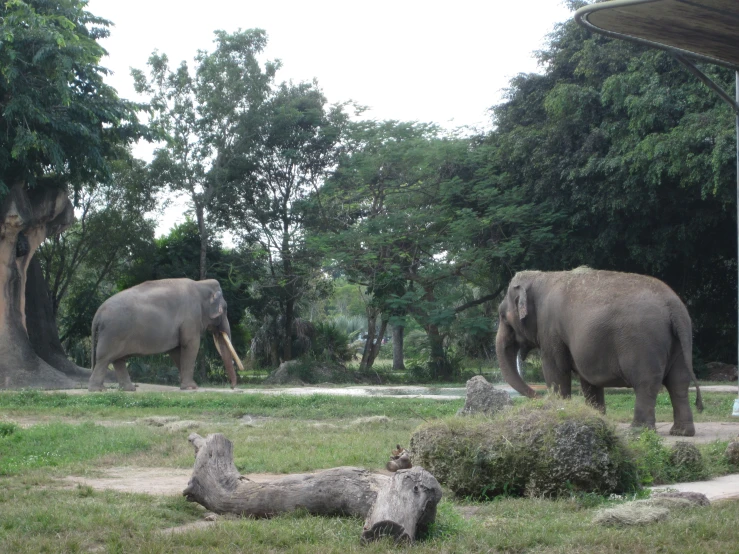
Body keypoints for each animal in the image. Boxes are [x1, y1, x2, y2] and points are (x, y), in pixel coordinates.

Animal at [86, 278, 243, 390]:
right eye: (225, 309)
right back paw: (98, 390)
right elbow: (190, 345)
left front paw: (186, 386)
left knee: (118, 360)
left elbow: (176, 351)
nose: (232, 387)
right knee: (104, 358)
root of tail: (97, 314)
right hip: (113, 332)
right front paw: (192, 387)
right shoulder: (191, 317)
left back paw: (129, 389)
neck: (201, 284)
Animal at [498, 266, 704, 434]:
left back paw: (638, 431)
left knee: (646, 383)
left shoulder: (550, 329)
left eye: (502, 316)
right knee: (678, 382)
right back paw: (681, 432)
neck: (541, 276)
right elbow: (588, 381)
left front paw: (561, 410)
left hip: (644, 343)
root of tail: (673, 306)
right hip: (680, 339)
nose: (540, 398)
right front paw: (597, 419)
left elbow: (555, 371)